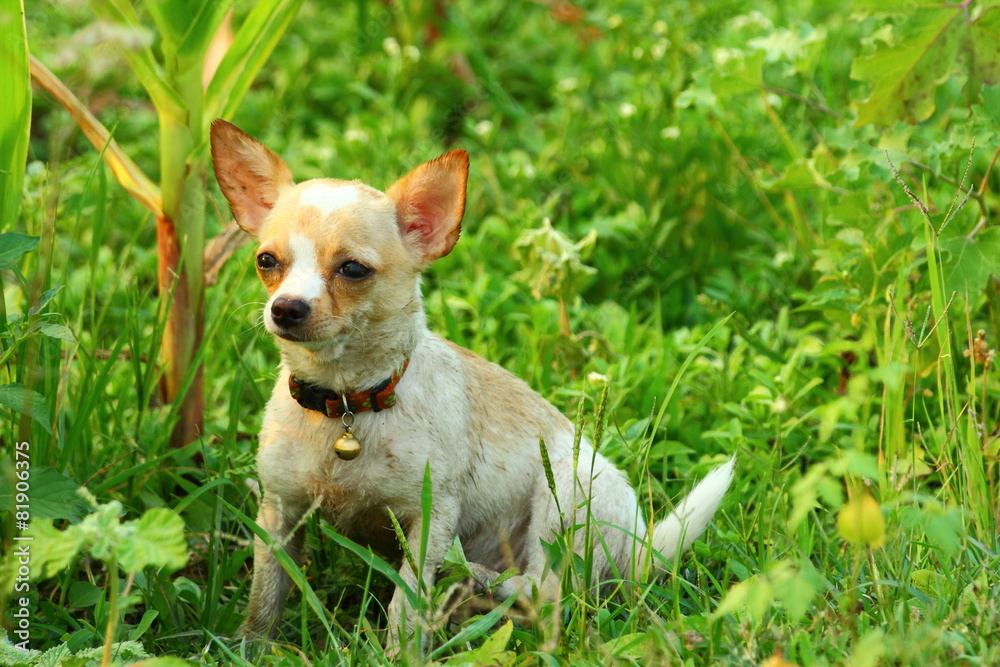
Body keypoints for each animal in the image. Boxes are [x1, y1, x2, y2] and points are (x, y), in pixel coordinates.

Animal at [211, 118, 736, 648]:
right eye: (266, 261)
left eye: (353, 269)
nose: (285, 308)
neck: (344, 405)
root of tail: (638, 551)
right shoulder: (279, 513)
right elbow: (267, 591)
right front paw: (251, 645)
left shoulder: (431, 521)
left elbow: (405, 602)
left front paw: (399, 652)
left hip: (564, 498)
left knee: (544, 590)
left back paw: (478, 580)